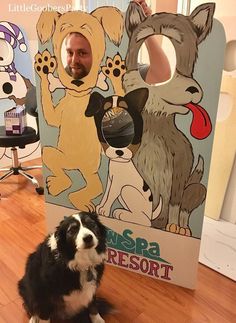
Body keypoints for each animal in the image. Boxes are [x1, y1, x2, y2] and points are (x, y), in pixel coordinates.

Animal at [86, 87, 162, 227]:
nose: (119, 151)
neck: (118, 163)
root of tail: (151, 212)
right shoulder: (110, 180)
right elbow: (106, 194)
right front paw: (100, 207)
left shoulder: (117, 184)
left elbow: (110, 196)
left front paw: (105, 210)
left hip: (127, 189)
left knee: (145, 221)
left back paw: (121, 213)